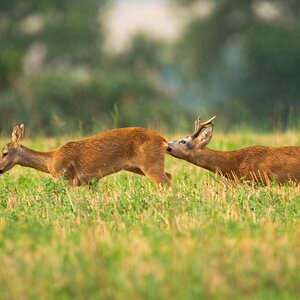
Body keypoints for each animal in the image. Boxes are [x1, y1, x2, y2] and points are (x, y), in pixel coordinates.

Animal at [0, 123, 171, 185]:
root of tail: (163, 140)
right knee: (169, 175)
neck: (50, 161)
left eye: (4, 153)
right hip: (138, 166)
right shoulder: (89, 181)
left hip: (150, 163)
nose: (0, 169)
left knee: (165, 182)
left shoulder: (65, 177)